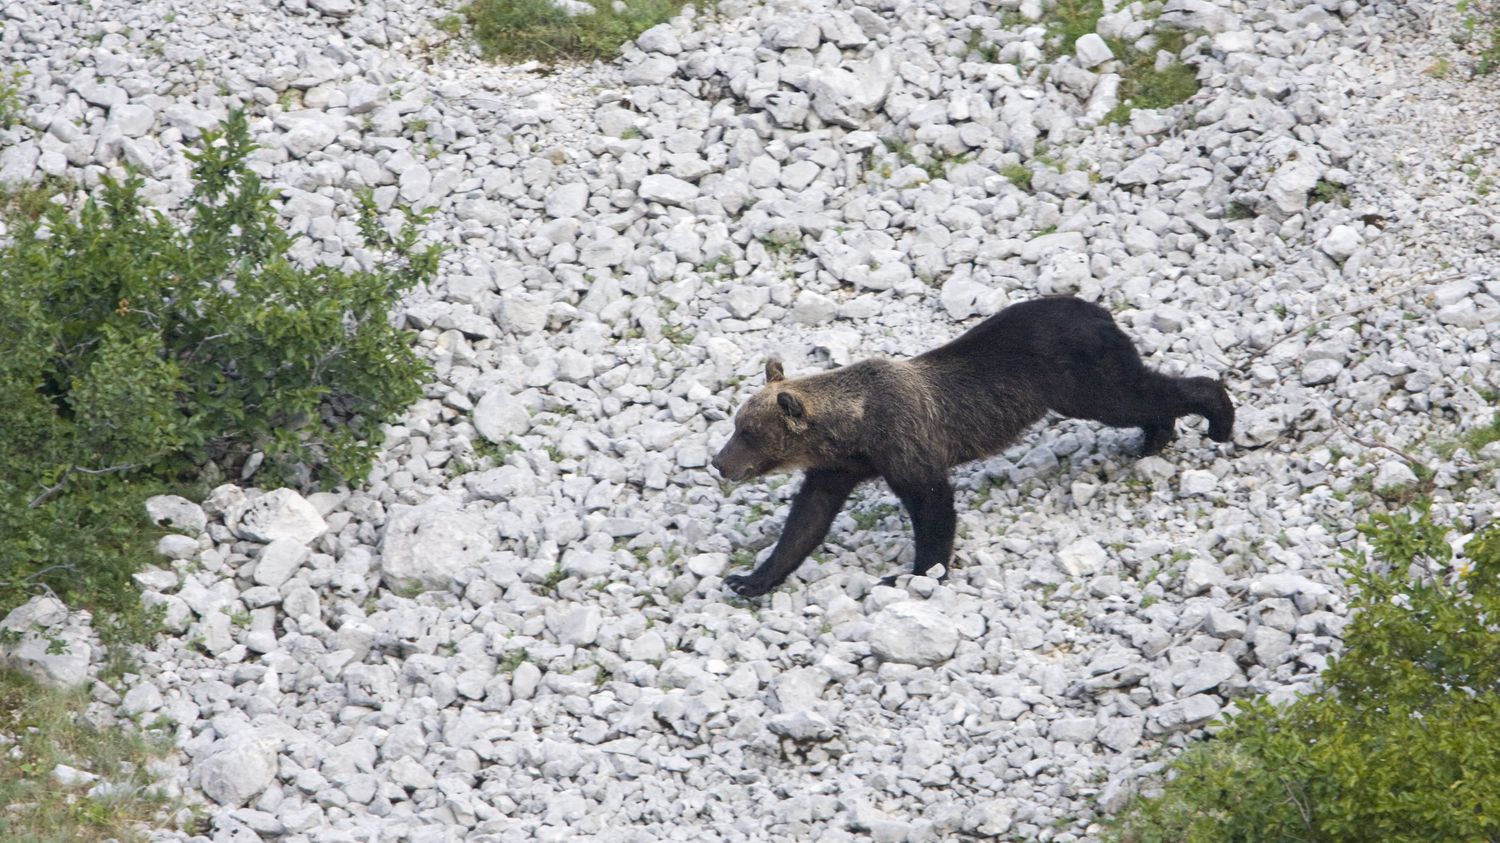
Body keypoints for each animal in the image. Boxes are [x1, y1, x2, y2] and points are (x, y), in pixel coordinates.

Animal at [711, 295, 1230, 597]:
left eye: (748, 432)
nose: (718, 462)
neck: (853, 430)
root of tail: (1099, 309)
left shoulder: (903, 441)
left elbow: (933, 505)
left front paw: (914, 573)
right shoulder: (838, 467)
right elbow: (806, 520)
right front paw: (749, 578)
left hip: (1078, 375)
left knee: (1132, 394)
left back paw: (1218, 418)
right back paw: (1153, 436)